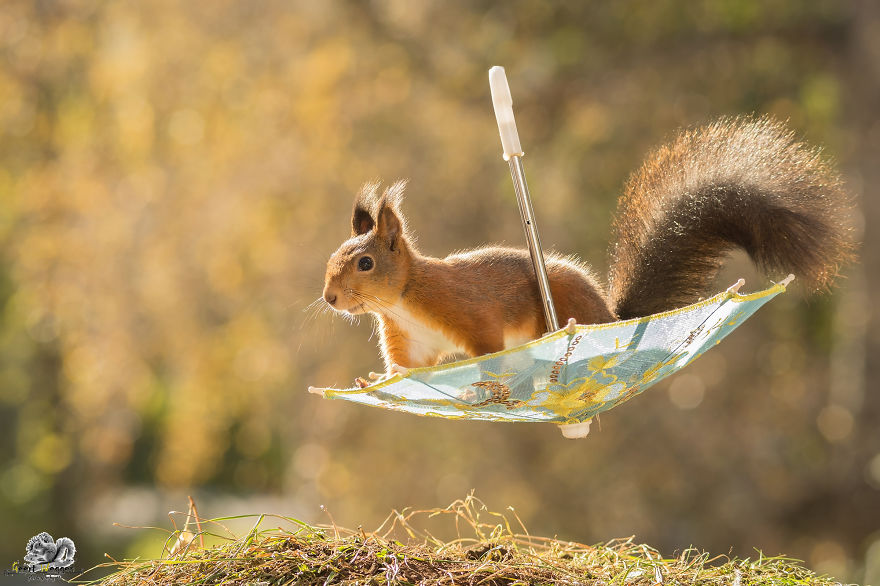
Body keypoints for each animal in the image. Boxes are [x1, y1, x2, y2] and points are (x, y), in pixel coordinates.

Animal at [320, 117, 854, 381]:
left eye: (366, 263)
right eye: (331, 260)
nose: (330, 298)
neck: (404, 299)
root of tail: (611, 317)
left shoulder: (468, 310)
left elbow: (487, 344)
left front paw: (486, 372)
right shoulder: (408, 339)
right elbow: (406, 368)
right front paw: (378, 381)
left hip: (563, 296)